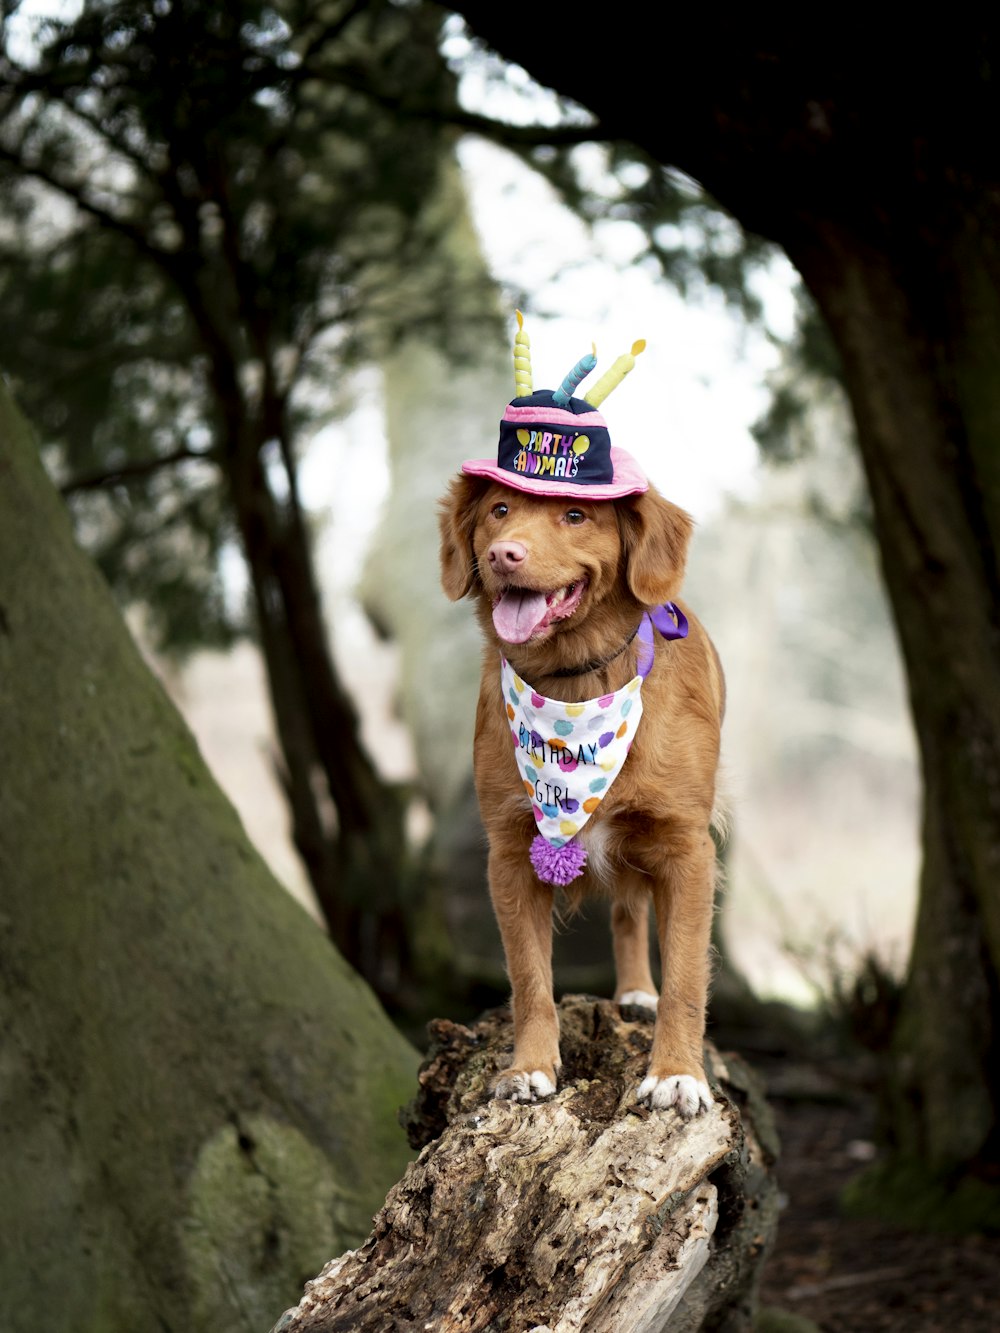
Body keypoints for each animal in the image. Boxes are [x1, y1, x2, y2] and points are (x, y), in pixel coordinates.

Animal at [442, 474, 725, 1119]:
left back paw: (639, 994)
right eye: (499, 510)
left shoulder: (687, 849)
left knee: (636, 916)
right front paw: (529, 1068)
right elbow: (529, 978)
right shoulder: (511, 853)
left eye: (575, 515)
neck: (575, 682)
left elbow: (686, 974)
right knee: (626, 912)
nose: (504, 554)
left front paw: (677, 1073)